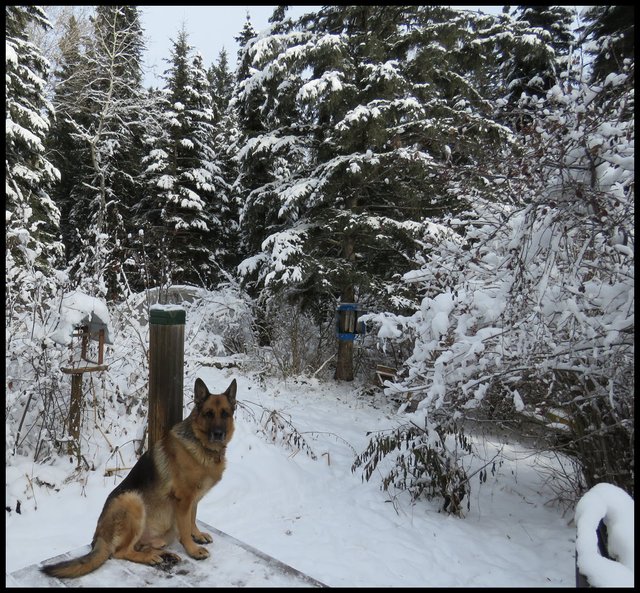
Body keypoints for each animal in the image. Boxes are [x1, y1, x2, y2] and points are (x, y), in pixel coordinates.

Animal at [42, 376, 238, 576]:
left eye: (225, 414)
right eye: (208, 414)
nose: (218, 434)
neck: (201, 444)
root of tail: (98, 538)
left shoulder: (194, 500)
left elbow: (192, 519)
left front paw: (196, 534)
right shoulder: (184, 499)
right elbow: (184, 528)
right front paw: (192, 549)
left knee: (141, 546)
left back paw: (163, 554)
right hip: (132, 501)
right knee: (121, 552)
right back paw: (150, 557)